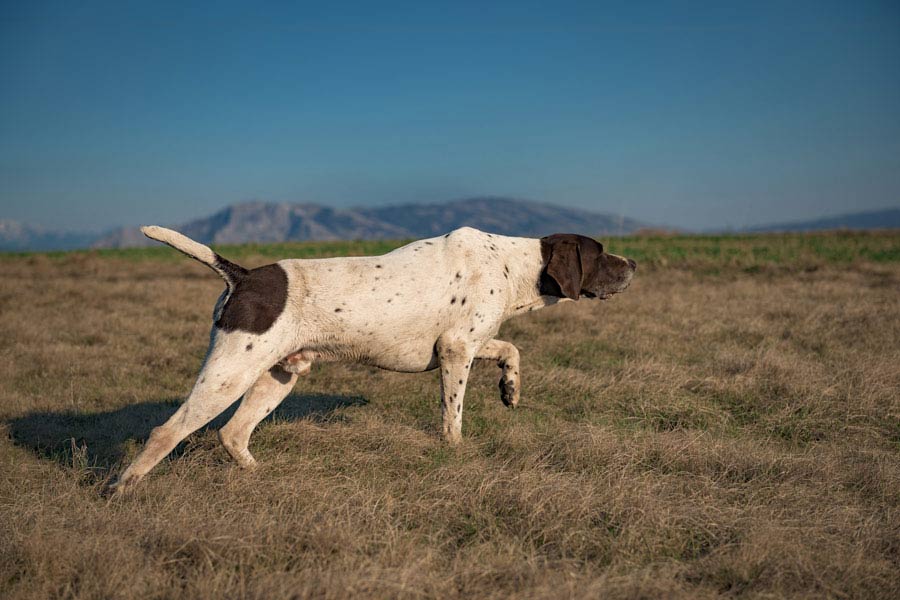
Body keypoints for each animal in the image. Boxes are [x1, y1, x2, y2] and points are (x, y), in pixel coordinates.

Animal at [110, 225, 632, 492]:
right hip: (229, 374)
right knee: (166, 432)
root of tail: (242, 275)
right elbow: (453, 418)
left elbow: (511, 349)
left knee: (232, 434)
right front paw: (457, 453)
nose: (635, 264)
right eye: (601, 253)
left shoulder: (468, 342)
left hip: (277, 376)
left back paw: (263, 477)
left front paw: (510, 388)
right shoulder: (456, 351)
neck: (513, 265)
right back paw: (124, 489)